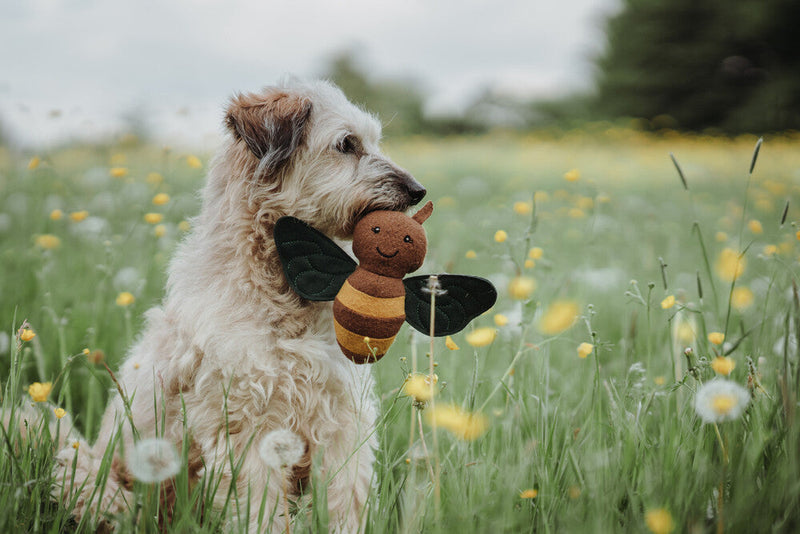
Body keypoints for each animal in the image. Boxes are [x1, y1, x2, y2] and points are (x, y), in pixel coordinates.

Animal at [53, 79, 428, 532]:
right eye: (346, 144)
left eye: (373, 140)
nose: (418, 190)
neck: (284, 291)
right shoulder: (249, 428)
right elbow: (260, 509)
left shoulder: (341, 420)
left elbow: (345, 499)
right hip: (94, 480)